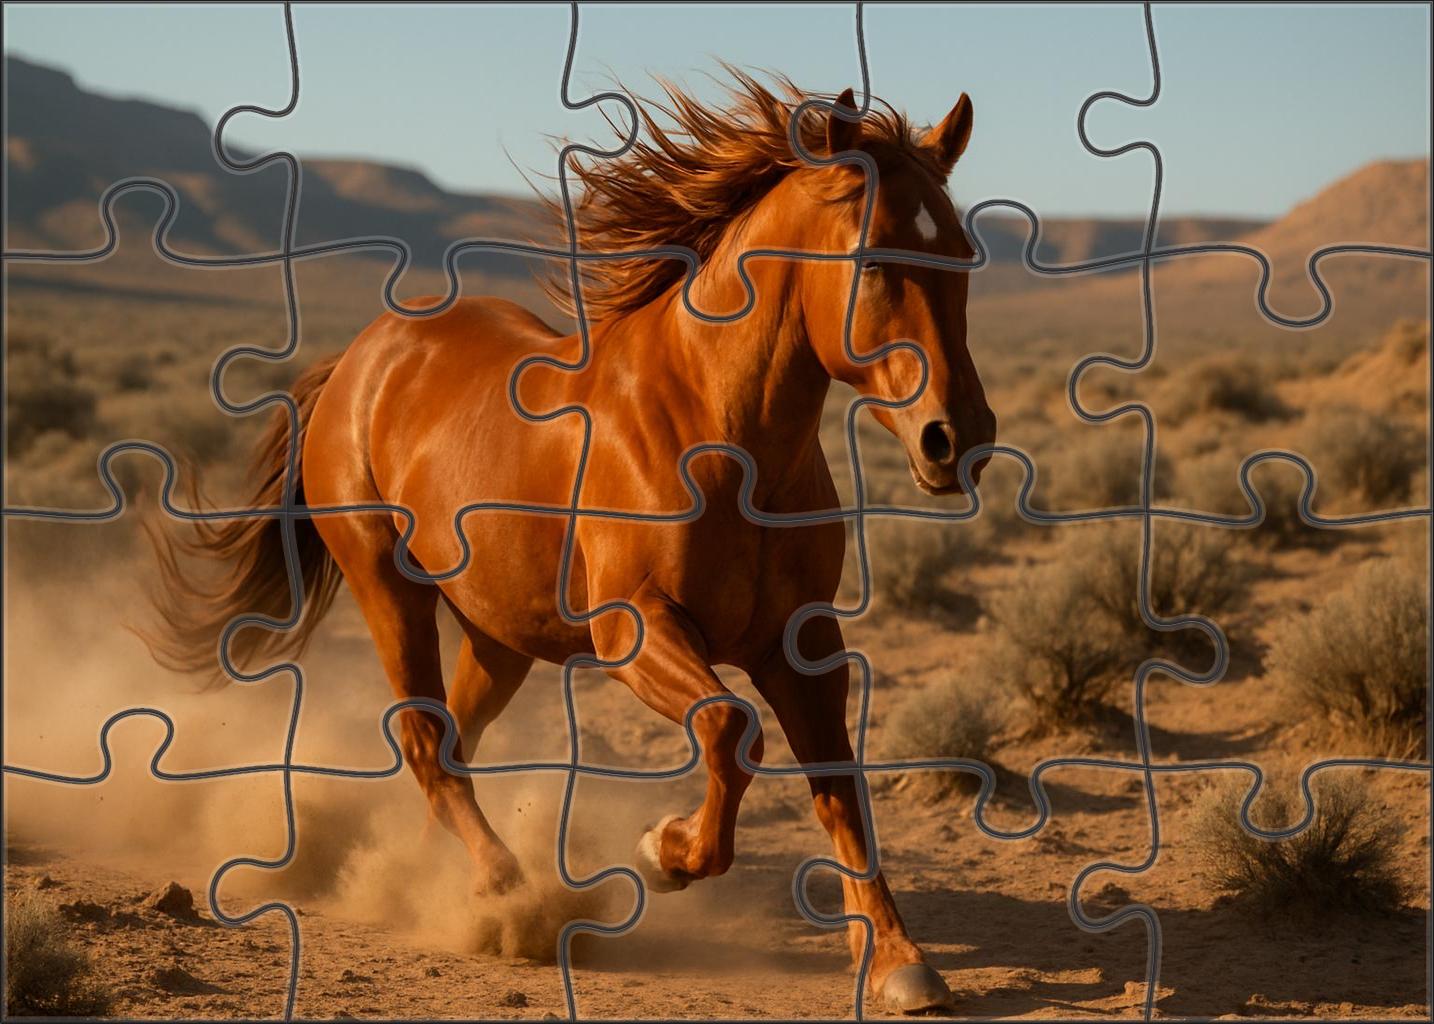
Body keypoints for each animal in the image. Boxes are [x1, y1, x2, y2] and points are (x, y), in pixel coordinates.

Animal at [147, 73, 995, 1013]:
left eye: (963, 256)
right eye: (873, 260)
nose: (956, 439)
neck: (716, 433)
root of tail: (363, 360)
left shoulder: (802, 644)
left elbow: (839, 788)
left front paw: (898, 960)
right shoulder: (634, 630)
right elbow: (729, 731)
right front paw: (664, 853)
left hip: (499, 635)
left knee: (454, 744)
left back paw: (434, 877)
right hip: (387, 587)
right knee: (424, 739)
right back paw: (505, 888)